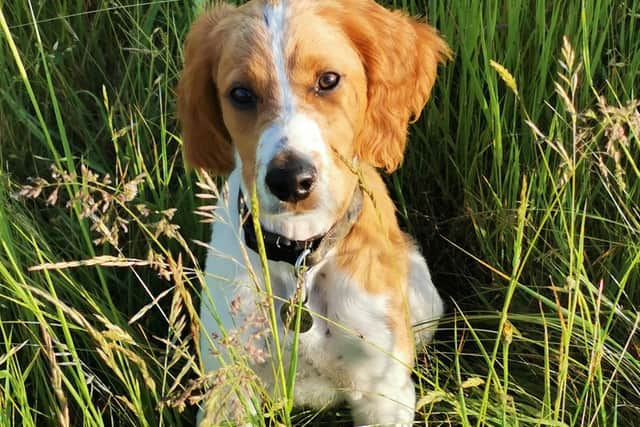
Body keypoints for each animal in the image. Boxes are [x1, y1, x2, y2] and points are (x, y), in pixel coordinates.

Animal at [178, 0, 450, 424]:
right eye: (240, 93)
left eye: (328, 80)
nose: (292, 181)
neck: (299, 256)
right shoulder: (229, 385)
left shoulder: (384, 389)